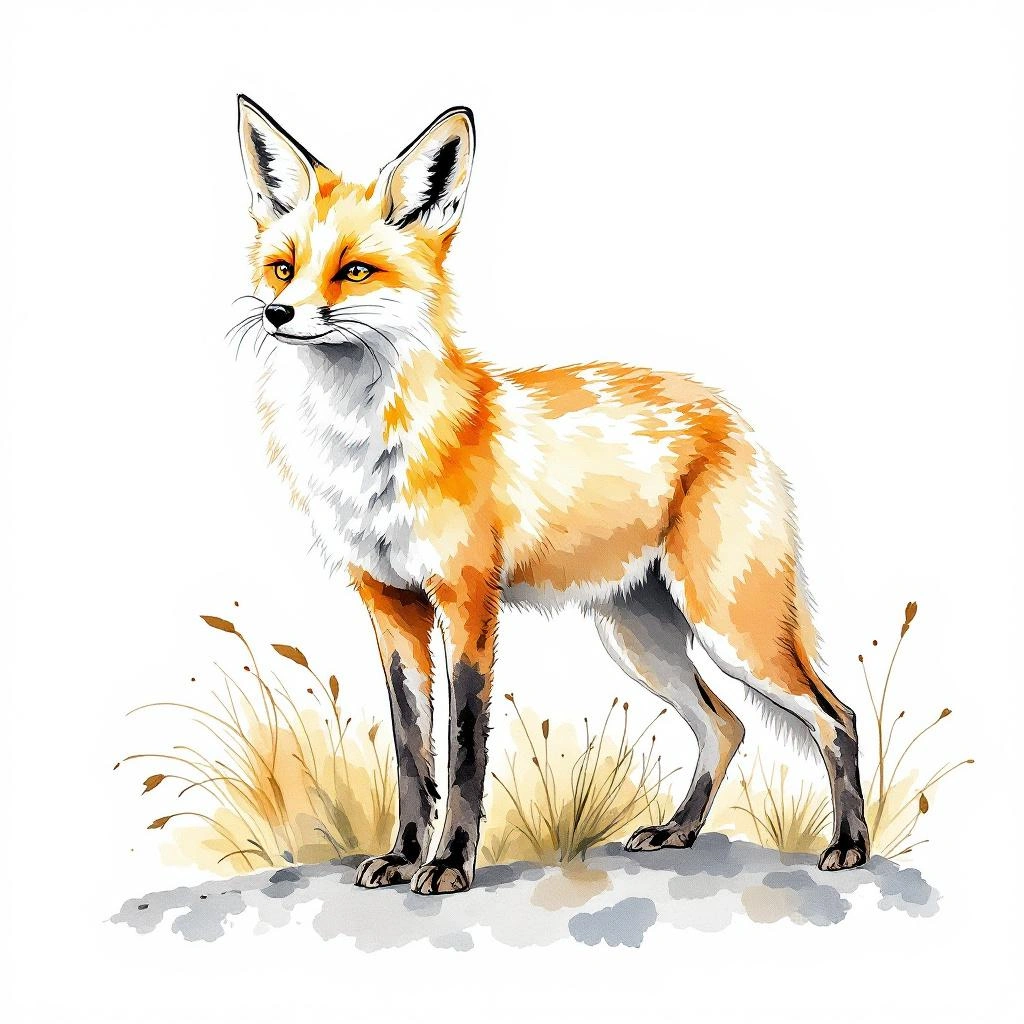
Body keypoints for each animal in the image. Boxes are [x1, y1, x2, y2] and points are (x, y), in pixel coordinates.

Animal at [234, 95, 870, 895]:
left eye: (354, 270)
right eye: (283, 269)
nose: (278, 314)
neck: (364, 451)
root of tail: (730, 412)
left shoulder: (468, 599)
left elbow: (464, 751)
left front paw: (449, 863)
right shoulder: (389, 602)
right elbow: (413, 752)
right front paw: (403, 855)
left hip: (732, 628)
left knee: (836, 716)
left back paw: (850, 846)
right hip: (640, 638)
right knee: (726, 724)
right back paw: (679, 831)